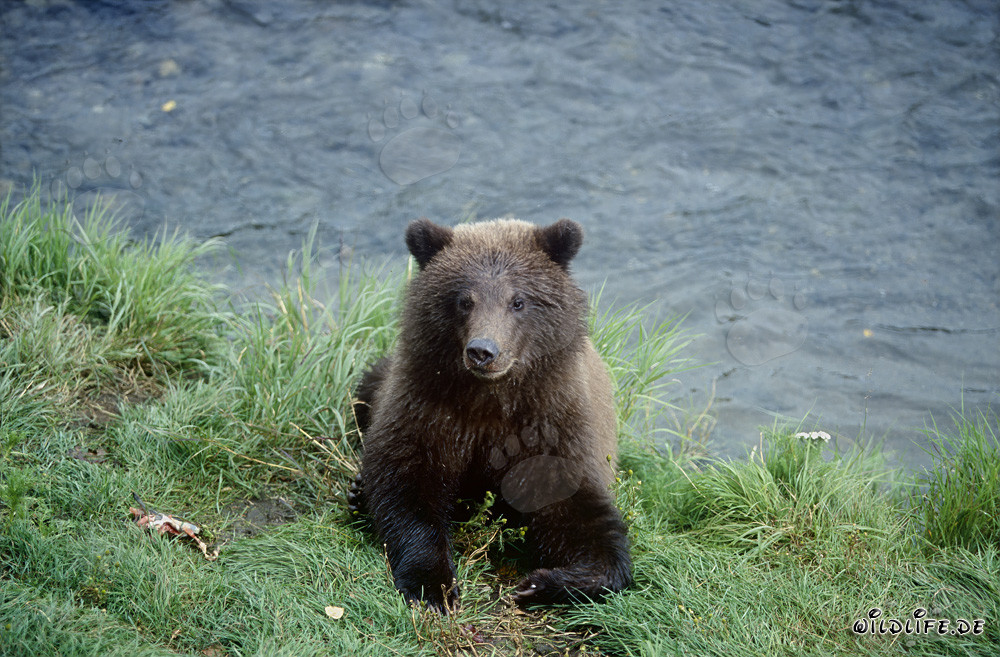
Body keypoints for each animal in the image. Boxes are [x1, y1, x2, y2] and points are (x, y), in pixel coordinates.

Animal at [348, 217, 631, 610]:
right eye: (464, 300)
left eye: (518, 300)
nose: (483, 351)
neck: (490, 398)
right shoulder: (426, 407)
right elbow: (407, 487)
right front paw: (434, 586)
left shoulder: (549, 424)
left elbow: (577, 513)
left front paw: (544, 582)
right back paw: (357, 494)